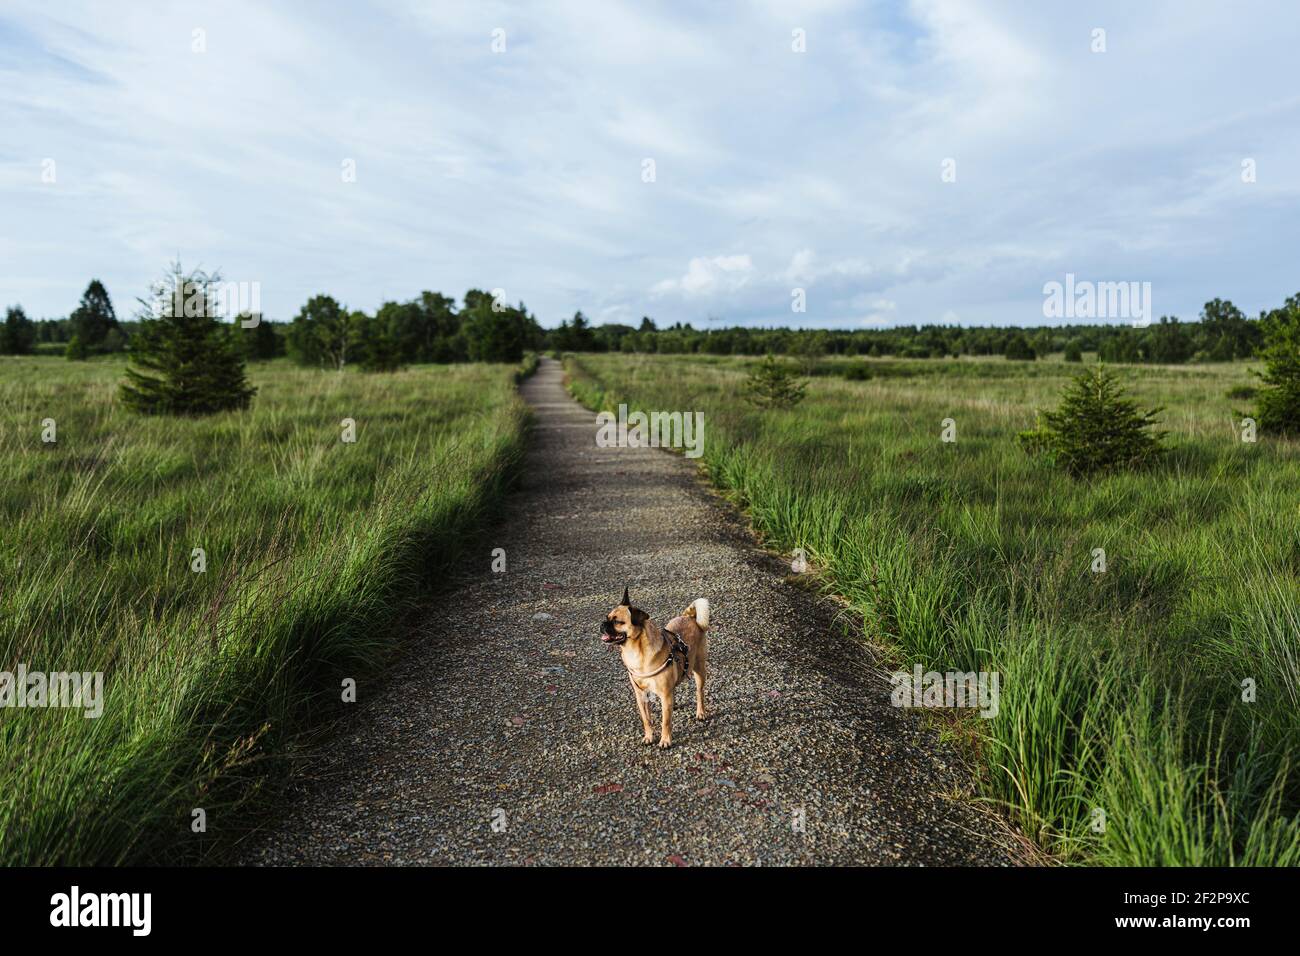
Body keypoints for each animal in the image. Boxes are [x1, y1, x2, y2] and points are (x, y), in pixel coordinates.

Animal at [600, 587, 712, 749]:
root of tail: (689, 616)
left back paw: (701, 712)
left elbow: (665, 722)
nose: (602, 624)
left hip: (699, 670)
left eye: (616, 621)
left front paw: (665, 740)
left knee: (699, 693)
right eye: (607, 617)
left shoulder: (664, 695)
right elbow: (646, 720)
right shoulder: (641, 696)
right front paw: (649, 737)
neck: (635, 651)